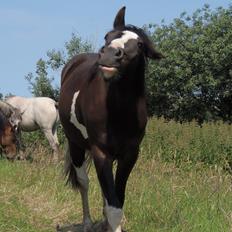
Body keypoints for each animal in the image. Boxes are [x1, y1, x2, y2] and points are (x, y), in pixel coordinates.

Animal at [59, 6, 162, 231]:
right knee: (84, 182)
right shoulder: (101, 152)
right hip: (76, 146)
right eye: (108, 36)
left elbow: (116, 200)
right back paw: (87, 222)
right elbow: (113, 205)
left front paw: (109, 222)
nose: (109, 56)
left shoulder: (129, 155)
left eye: (139, 44)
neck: (119, 112)